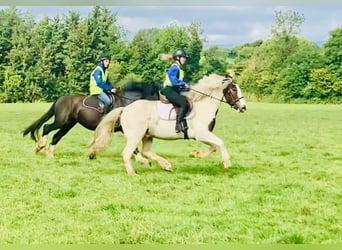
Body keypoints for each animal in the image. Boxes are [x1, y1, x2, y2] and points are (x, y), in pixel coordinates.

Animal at [23, 82, 160, 157]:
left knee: (57, 136)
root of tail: (60, 99)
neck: (126, 102)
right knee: (47, 127)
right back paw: (40, 146)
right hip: (61, 121)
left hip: (68, 124)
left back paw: (50, 154)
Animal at [86, 74, 246, 176]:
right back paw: (133, 173)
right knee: (127, 153)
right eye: (233, 89)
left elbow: (213, 147)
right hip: (135, 136)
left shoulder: (203, 136)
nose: (243, 107)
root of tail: (125, 109)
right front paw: (227, 163)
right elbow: (220, 143)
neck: (204, 107)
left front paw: (196, 154)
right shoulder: (202, 134)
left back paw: (166, 165)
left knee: (146, 151)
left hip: (147, 135)